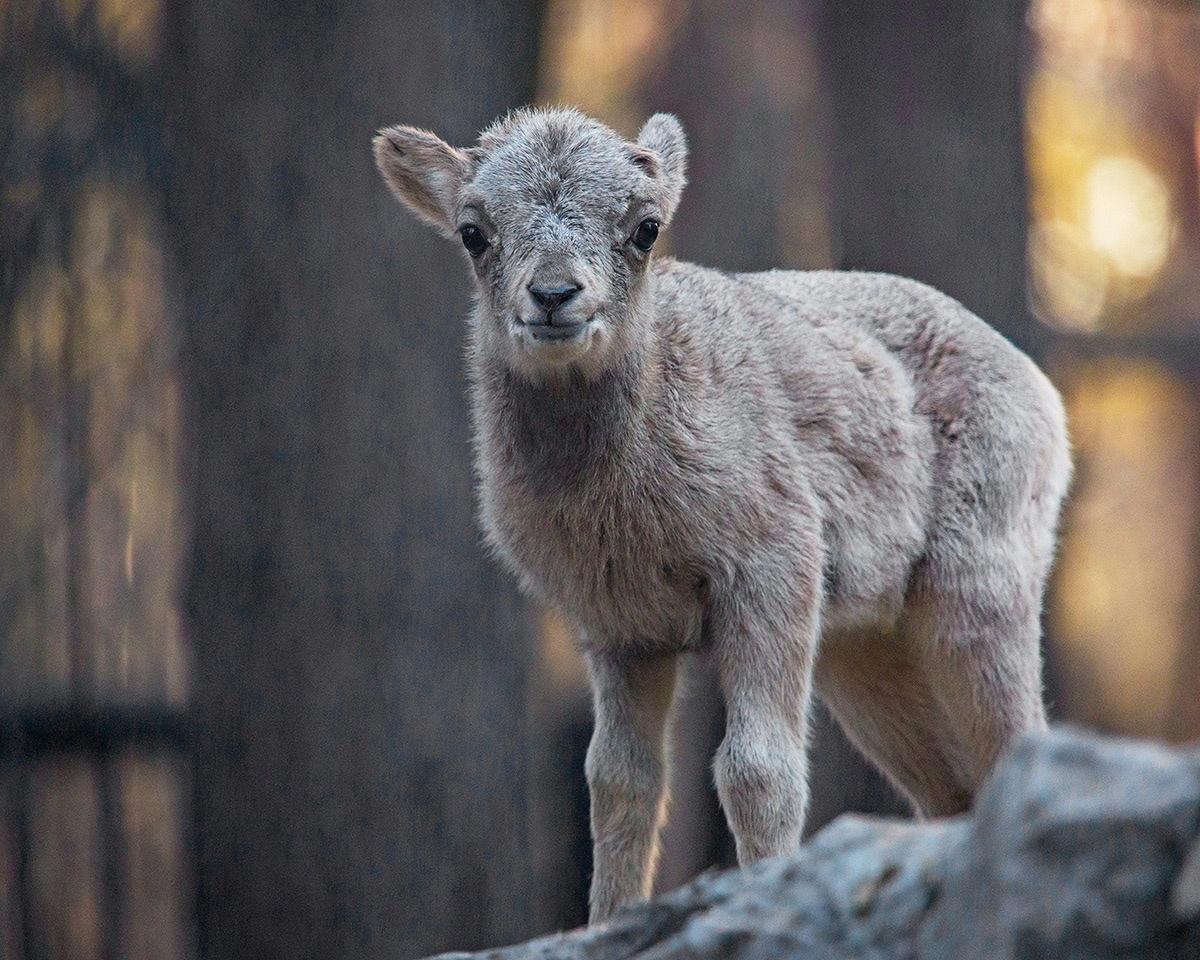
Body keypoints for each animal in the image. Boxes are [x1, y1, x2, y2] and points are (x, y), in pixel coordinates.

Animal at [372, 108, 1070, 926]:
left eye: (646, 227)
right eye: (473, 231)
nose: (553, 294)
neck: (625, 513)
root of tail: (1046, 400)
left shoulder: (774, 562)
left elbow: (756, 770)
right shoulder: (618, 626)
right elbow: (619, 781)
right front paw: (609, 918)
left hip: (980, 582)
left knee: (1019, 740)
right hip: (862, 648)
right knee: (950, 789)